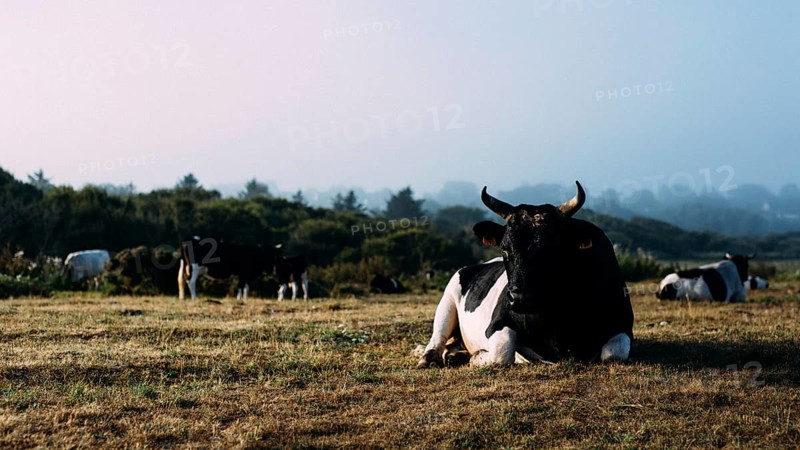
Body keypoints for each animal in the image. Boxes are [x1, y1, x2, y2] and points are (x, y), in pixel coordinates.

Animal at [416, 181, 634, 368]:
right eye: (505, 249)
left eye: (554, 249)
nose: (521, 298)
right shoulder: (497, 323)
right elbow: (503, 351)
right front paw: (478, 356)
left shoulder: (623, 326)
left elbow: (613, 353)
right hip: (447, 301)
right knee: (438, 338)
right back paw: (431, 358)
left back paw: (455, 355)